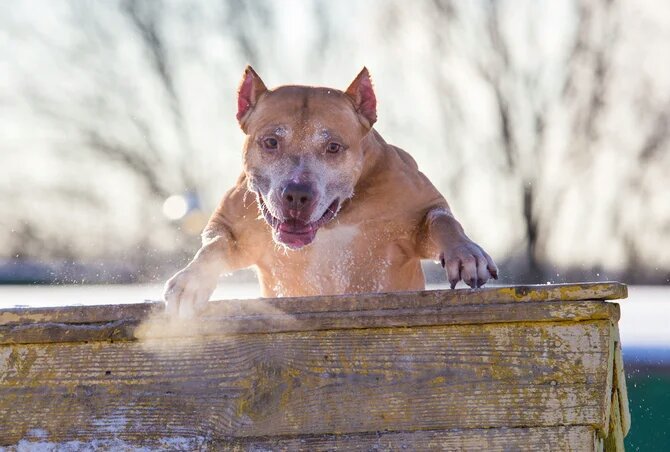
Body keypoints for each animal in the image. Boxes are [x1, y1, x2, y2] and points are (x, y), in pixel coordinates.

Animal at [163, 67, 498, 316]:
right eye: (271, 142)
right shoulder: (236, 231)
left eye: (333, 147)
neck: (336, 218)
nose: (297, 194)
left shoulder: (418, 212)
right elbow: (214, 246)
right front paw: (191, 280)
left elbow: (441, 220)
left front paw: (466, 253)